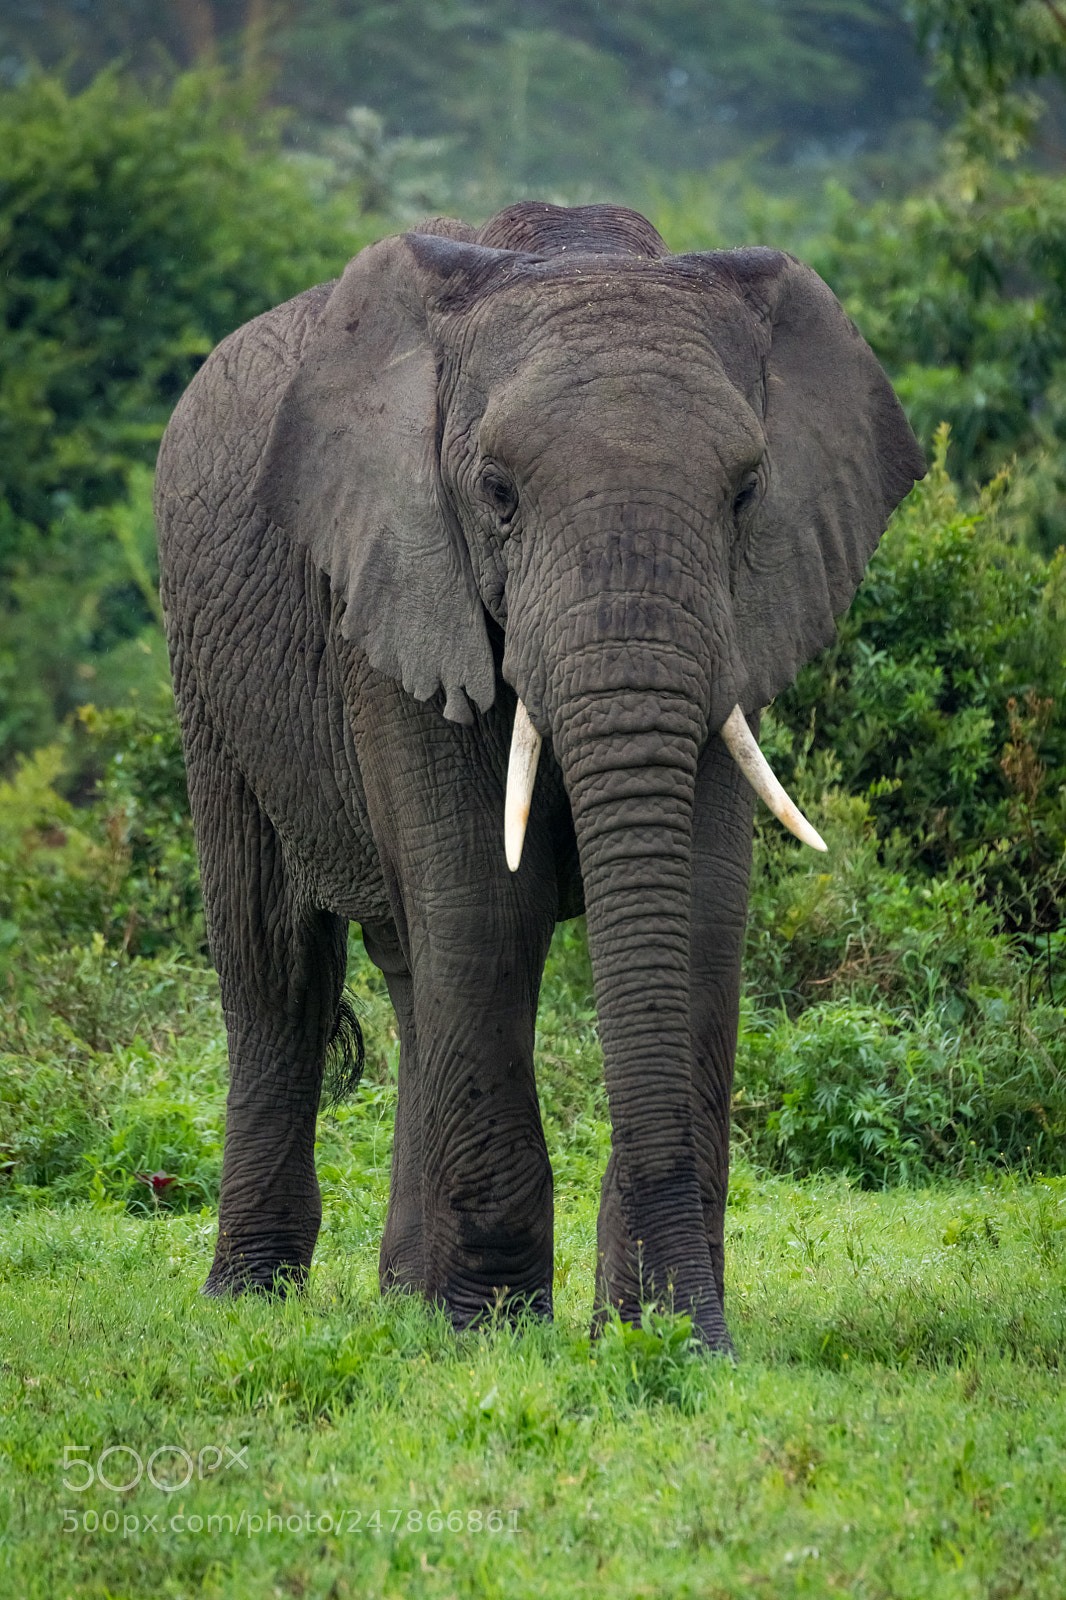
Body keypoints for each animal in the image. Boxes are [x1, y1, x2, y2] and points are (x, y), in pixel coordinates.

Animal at [154, 200, 924, 1352]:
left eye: (746, 494)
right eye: (498, 495)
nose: (693, 1335)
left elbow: (697, 912)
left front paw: (646, 1336)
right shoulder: (400, 587)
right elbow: (486, 907)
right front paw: (496, 1337)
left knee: (408, 969)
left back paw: (404, 1301)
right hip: (205, 666)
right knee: (276, 962)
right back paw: (250, 1300)